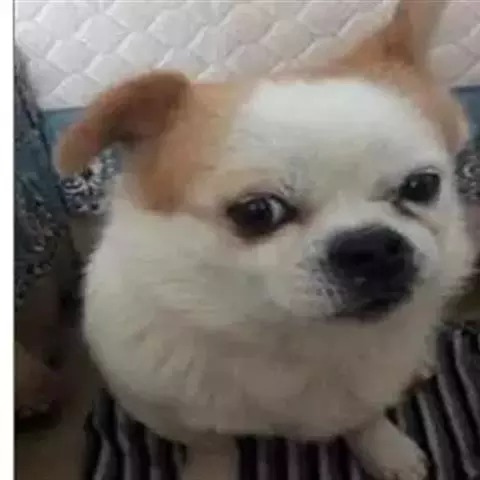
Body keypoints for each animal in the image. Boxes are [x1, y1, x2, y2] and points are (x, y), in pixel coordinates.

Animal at [56, 1, 474, 479]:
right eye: (258, 212)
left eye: (422, 186)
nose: (370, 246)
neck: (288, 338)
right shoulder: (168, 410)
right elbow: (211, 443)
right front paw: (211, 471)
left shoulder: (371, 387)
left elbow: (366, 417)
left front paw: (387, 451)